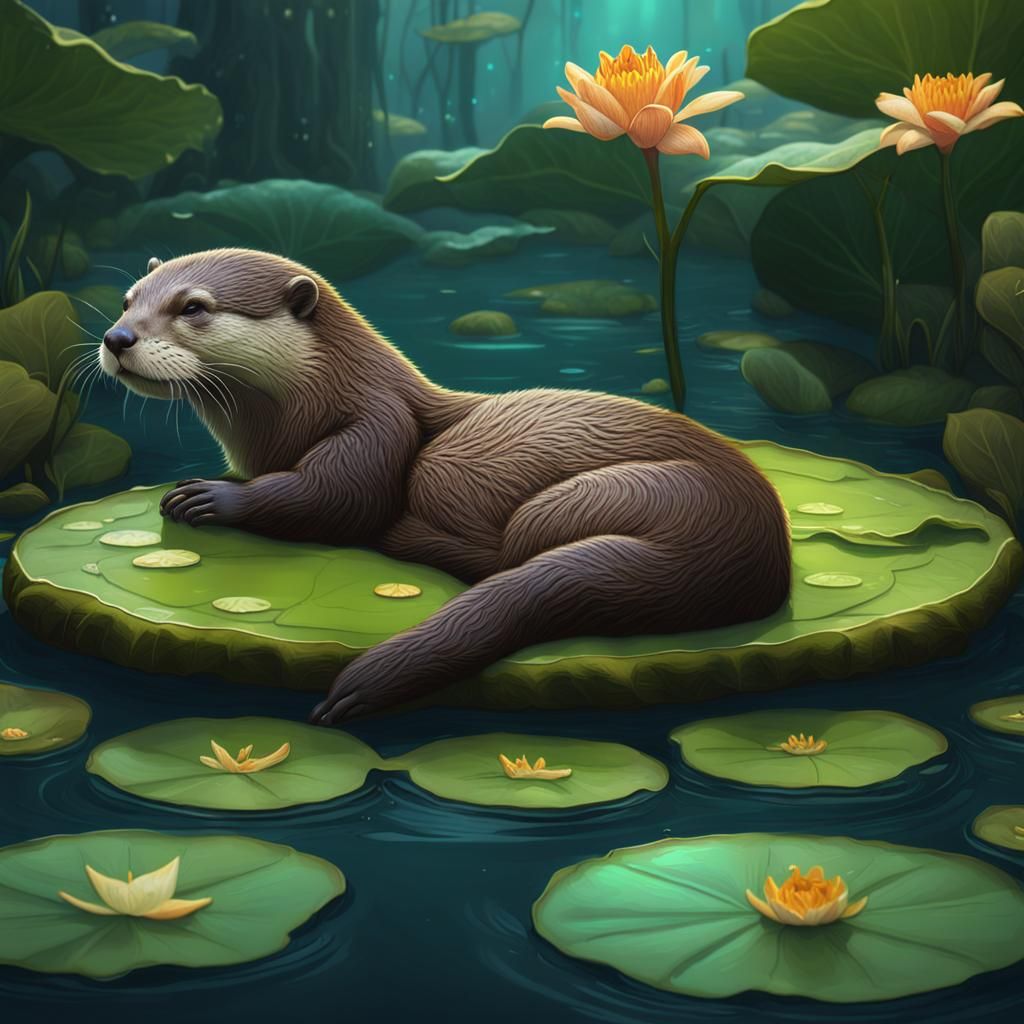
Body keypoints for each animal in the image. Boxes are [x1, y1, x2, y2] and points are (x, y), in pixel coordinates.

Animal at [99, 248, 791, 723]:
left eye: (193, 307)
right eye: (128, 299)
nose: (117, 337)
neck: (297, 415)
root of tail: (752, 544)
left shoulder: (380, 423)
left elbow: (336, 502)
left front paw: (209, 496)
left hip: (613, 494)